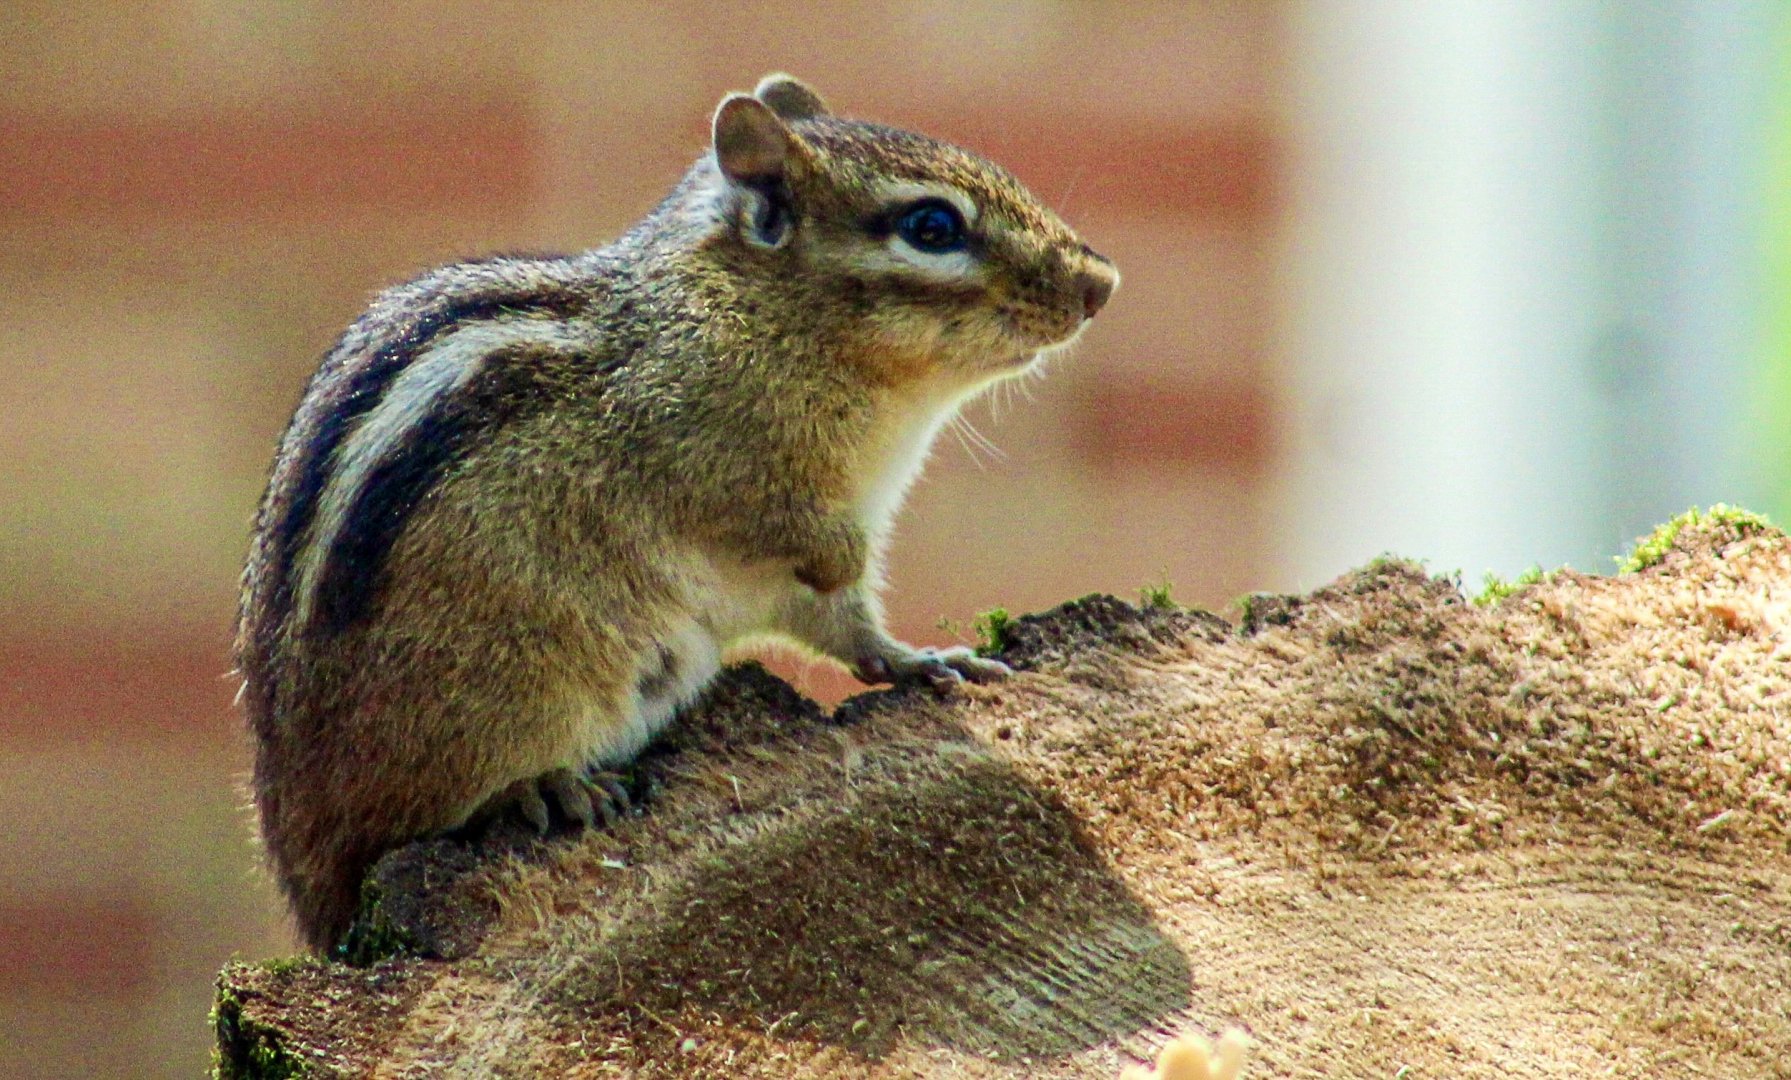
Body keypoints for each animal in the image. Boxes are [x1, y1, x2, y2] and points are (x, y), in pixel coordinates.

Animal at [236, 73, 1118, 952]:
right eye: (930, 226)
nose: (1099, 283)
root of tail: (293, 843)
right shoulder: (713, 462)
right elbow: (783, 531)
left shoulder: (804, 571)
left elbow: (848, 627)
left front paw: (921, 661)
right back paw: (544, 789)